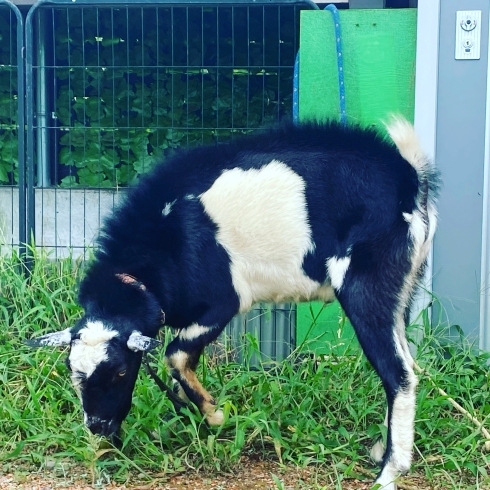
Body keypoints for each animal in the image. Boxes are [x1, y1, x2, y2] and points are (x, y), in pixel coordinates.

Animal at [27, 117, 440, 488]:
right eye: (72, 371)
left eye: (120, 372)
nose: (98, 426)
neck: (167, 238)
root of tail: (407, 178)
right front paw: (191, 409)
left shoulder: (222, 302)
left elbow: (175, 354)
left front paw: (214, 415)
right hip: (400, 292)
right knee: (408, 363)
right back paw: (383, 449)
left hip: (366, 288)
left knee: (398, 372)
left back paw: (389, 472)